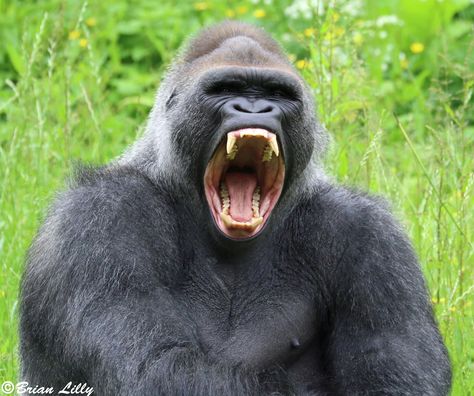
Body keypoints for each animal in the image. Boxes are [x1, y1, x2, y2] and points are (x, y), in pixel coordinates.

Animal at [21, 22, 452, 396]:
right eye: (226, 88)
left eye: (277, 94)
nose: (254, 108)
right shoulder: (101, 217)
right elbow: (154, 368)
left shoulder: (371, 237)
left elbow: (393, 377)